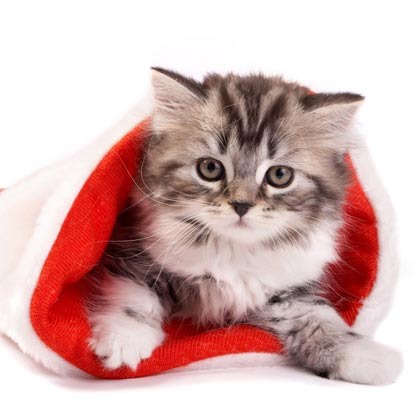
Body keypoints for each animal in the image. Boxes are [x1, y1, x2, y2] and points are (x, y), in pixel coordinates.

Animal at [88, 67, 404, 384]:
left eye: (280, 175)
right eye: (210, 168)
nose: (241, 204)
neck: (232, 250)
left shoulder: (287, 292)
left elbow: (318, 317)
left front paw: (364, 356)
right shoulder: (137, 254)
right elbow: (135, 294)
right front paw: (125, 338)